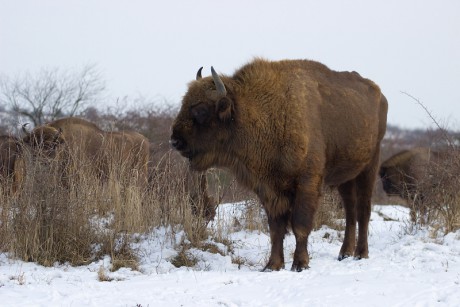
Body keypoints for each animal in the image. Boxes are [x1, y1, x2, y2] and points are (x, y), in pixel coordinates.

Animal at [171, 57, 386, 272]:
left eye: (201, 110)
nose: (174, 140)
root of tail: (379, 93)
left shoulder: (307, 184)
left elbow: (300, 225)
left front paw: (300, 264)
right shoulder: (269, 189)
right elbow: (276, 229)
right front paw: (272, 265)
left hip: (369, 167)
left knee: (363, 210)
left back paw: (360, 254)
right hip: (346, 177)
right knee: (350, 211)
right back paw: (345, 253)